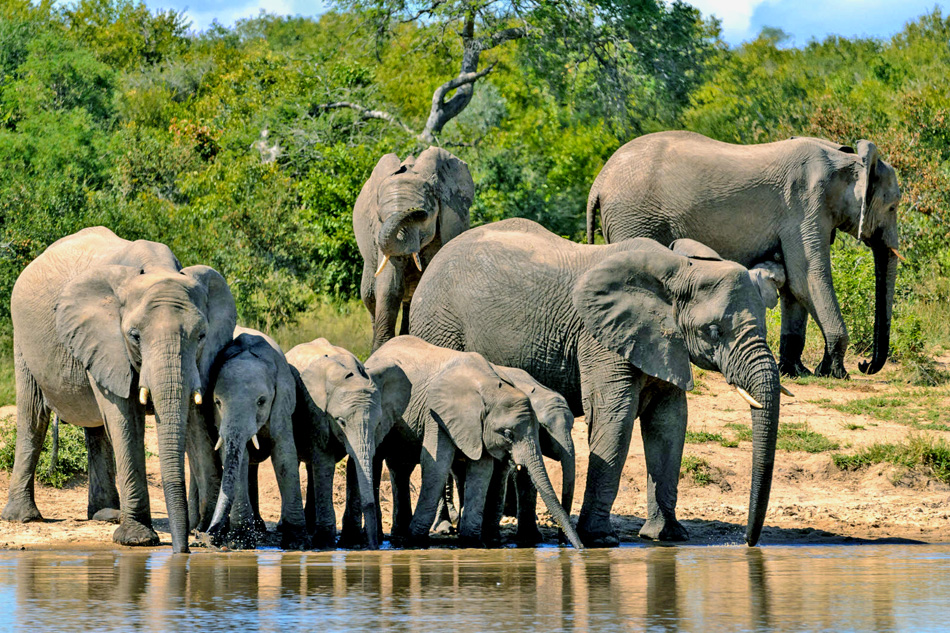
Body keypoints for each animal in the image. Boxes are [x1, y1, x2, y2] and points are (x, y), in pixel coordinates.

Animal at [3, 225, 234, 552]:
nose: (183, 550)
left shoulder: (197, 361)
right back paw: (24, 518)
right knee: (34, 416)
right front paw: (137, 540)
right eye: (134, 336)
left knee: (96, 428)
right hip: (23, 338)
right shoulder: (109, 340)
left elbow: (195, 420)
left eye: (202, 335)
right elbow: (125, 418)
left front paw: (211, 537)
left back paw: (106, 514)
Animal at [356, 146, 476, 350]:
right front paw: (381, 349)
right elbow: (390, 285)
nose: (416, 211)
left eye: (424, 216)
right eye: (379, 218)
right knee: (369, 296)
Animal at [364, 336, 584, 548]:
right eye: (508, 433)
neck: (488, 386)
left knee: (401, 468)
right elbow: (436, 464)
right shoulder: (437, 414)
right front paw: (416, 541)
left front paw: (471, 540)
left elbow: (483, 470)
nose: (574, 545)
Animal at [412, 220, 784, 544]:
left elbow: (669, 424)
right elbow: (614, 418)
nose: (748, 541)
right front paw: (600, 539)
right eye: (713, 331)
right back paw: (446, 527)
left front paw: (666, 536)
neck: (680, 268)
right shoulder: (599, 338)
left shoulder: (666, 343)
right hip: (438, 326)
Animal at [584, 128, 904, 376]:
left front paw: (797, 371)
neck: (846, 160)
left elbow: (794, 285)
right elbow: (808, 278)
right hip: (634, 217)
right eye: (893, 207)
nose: (865, 364)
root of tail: (598, 182)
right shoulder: (804, 204)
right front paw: (836, 373)